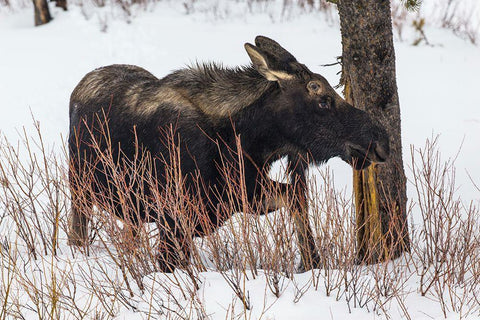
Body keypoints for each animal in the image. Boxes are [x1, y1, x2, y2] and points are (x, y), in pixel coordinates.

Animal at [68, 36, 390, 272]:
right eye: (322, 98)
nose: (381, 141)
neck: (242, 140)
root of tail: (81, 83)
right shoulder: (173, 216)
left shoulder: (244, 191)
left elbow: (295, 194)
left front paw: (310, 261)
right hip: (79, 188)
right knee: (78, 230)